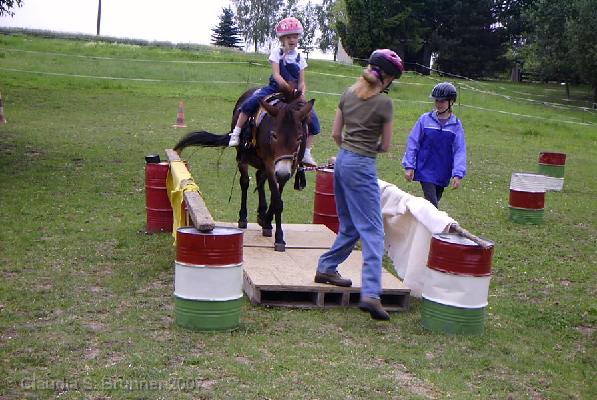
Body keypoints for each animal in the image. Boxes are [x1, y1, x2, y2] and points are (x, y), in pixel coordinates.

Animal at [174, 86, 314, 252]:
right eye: (274, 135)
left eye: (299, 137)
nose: (281, 172)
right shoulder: (271, 165)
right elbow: (277, 201)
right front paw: (279, 238)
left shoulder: (289, 168)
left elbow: (276, 199)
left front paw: (267, 222)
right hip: (243, 158)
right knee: (245, 182)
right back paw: (243, 217)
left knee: (259, 177)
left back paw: (262, 214)